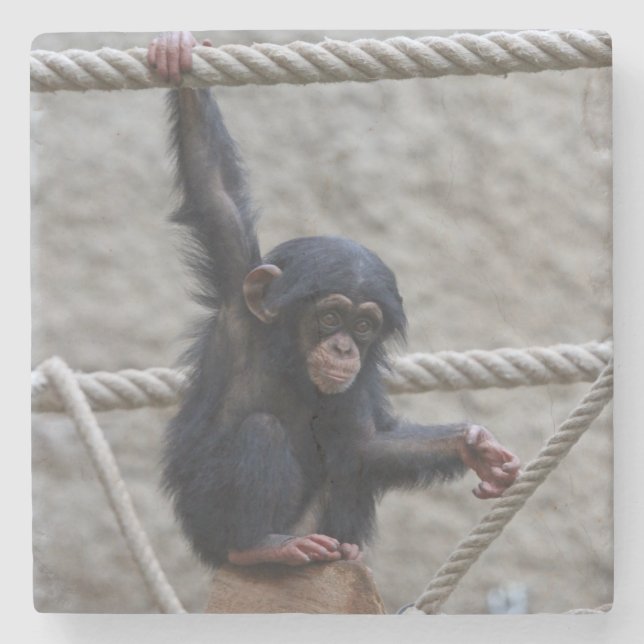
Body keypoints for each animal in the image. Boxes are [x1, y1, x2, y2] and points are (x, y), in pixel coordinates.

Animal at [148, 32, 520, 568]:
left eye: (363, 327)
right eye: (329, 317)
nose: (344, 348)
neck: (289, 357)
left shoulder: (357, 384)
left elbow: (365, 445)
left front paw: (474, 448)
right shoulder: (237, 295)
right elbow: (212, 186)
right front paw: (179, 59)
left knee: (348, 466)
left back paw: (344, 550)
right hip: (209, 527)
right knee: (262, 432)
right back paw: (260, 547)